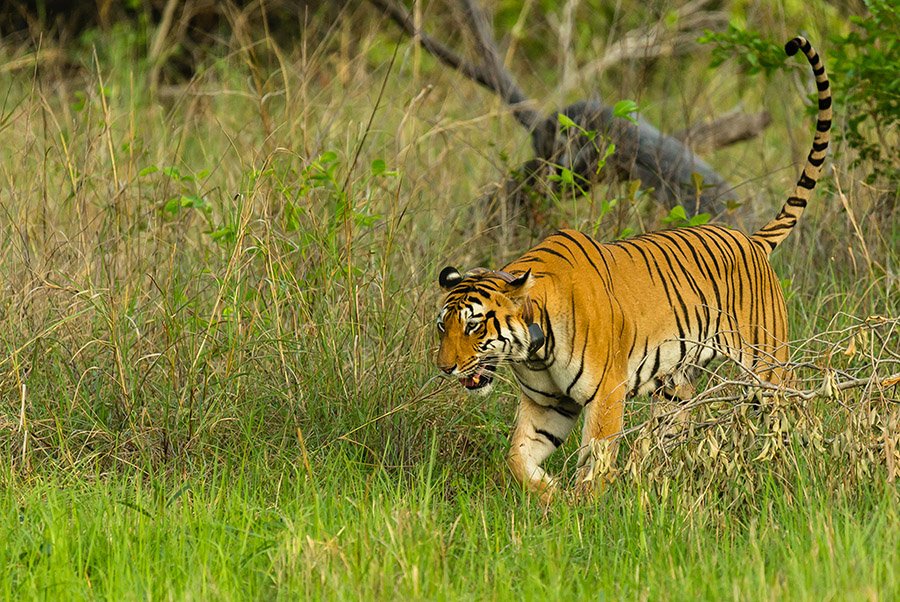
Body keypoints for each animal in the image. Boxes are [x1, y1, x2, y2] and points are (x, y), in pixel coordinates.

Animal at [434, 35, 828, 500]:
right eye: (442, 327)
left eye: (474, 326)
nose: (445, 368)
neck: (534, 348)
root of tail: (750, 238)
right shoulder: (547, 405)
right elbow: (518, 457)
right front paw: (550, 496)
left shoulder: (606, 392)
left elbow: (597, 458)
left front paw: (584, 504)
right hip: (676, 384)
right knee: (669, 429)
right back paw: (648, 474)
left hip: (767, 366)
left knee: (796, 413)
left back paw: (805, 471)